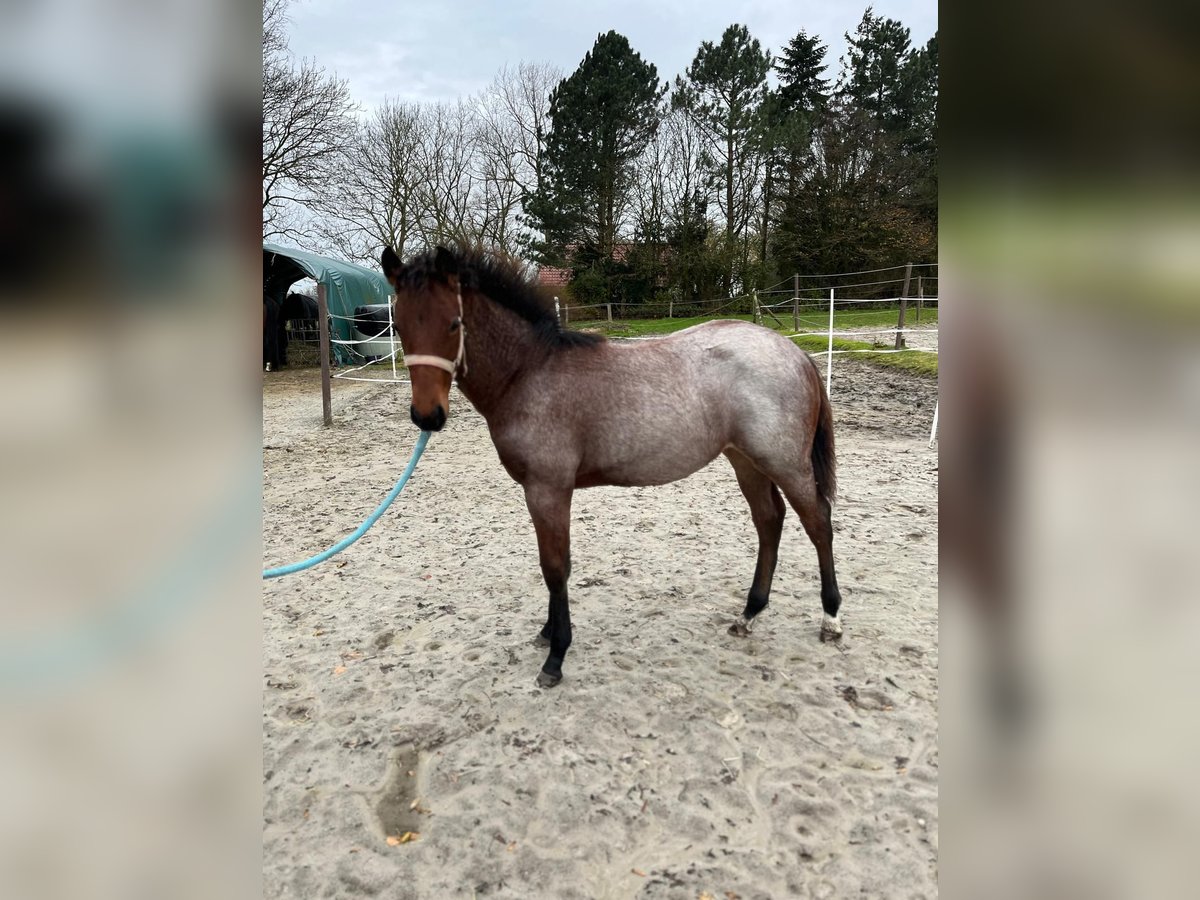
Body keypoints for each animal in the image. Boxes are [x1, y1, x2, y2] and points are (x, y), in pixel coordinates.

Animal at [379, 243, 840, 686]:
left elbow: (555, 567)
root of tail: (794, 352)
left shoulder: (547, 490)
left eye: (453, 323)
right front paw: (548, 633)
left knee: (818, 521)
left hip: (784, 462)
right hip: (745, 460)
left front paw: (556, 655)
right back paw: (749, 614)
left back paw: (830, 618)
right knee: (769, 520)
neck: (529, 374)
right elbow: (555, 565)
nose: (427, 416)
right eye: (398, 327)